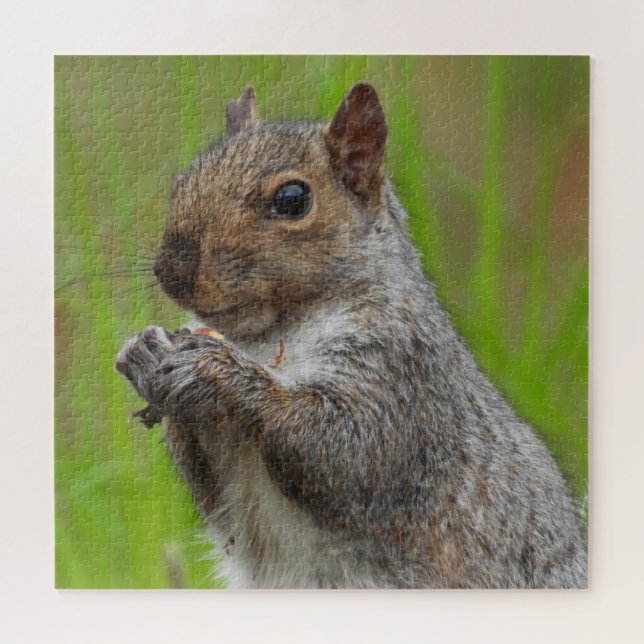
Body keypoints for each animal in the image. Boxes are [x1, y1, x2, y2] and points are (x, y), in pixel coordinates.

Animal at [115, 82, 587, 589]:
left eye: (292, 199)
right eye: (180, 184)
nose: (171, 272)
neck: (270, 338)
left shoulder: (402, 374)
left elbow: (350, 454)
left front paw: (217, 371)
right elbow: (215, 497)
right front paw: (145, 352)